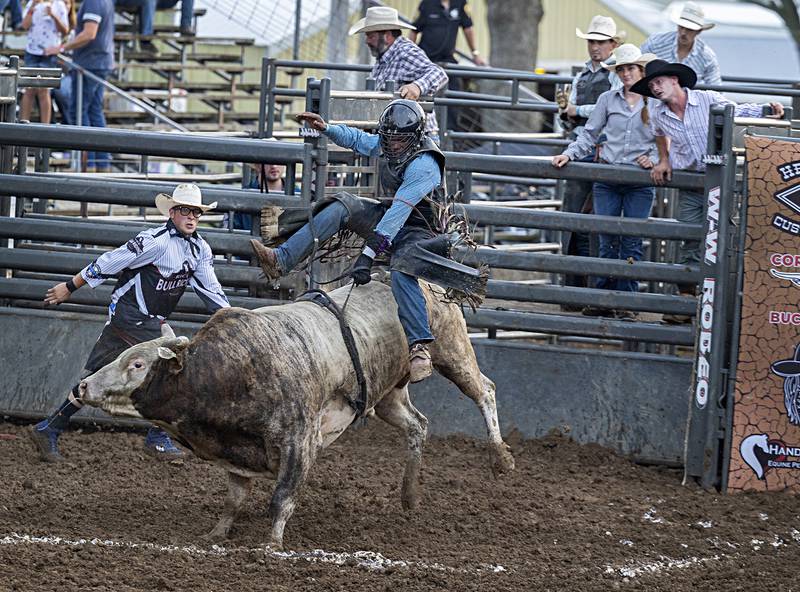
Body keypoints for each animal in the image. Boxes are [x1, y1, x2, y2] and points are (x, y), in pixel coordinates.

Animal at [78, 282, 516, 552]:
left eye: (137, 364)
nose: (81, 386)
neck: (230, 370)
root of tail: (430, 285)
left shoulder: (298, 440)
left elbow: (282, 498)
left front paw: (271, 544)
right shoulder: (235, 450)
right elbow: (234, 498)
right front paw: (216, 532)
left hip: (452, 349)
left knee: (485, 390)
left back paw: (500, 457)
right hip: (389, 392)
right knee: (417, 425)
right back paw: (409, 495)